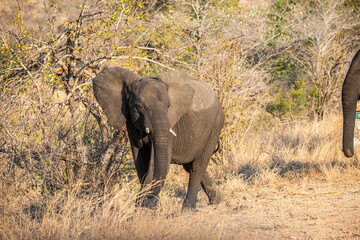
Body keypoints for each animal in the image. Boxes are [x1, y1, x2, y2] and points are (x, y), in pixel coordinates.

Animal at [91, 66, 224, 209]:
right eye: (138, 107)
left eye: (168, 106)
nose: (149, 199)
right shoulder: (131, 123)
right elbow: (140, 160)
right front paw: (143, 203)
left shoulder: (170, 124)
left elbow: (155, 161)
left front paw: (146, 204)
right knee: (189, 165)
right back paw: (217, 200)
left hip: (214, 127)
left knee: (197, 167)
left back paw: (188, 209)